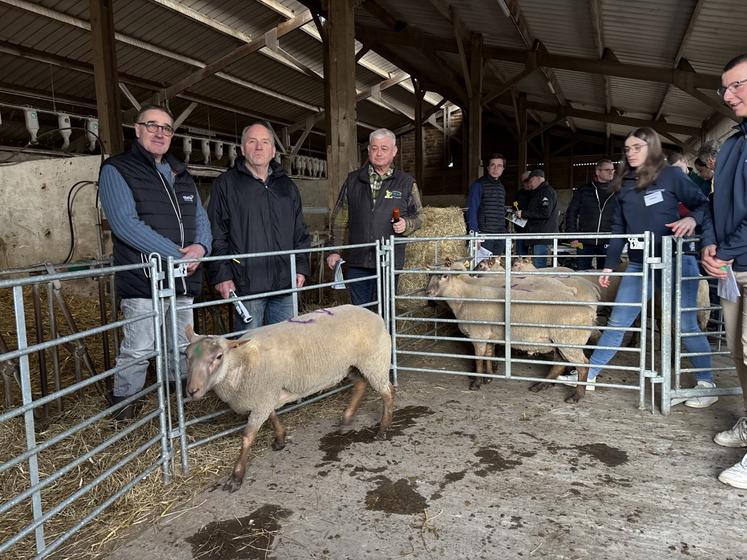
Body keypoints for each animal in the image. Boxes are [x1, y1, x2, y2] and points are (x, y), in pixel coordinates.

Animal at [186, 304, 398, 492]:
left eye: (219, 356)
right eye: (186, 355)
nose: (191, 391)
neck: (241, 363)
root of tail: (375, 315)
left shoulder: (262, 398)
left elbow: (247, 437)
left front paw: (236, 477)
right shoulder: (266, 395)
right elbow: (272, 416)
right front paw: (280, 438)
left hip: (374, 361)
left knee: (388, 392)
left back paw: (383, 428)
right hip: (350, 366)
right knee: (361, 385)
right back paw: (347, 418)